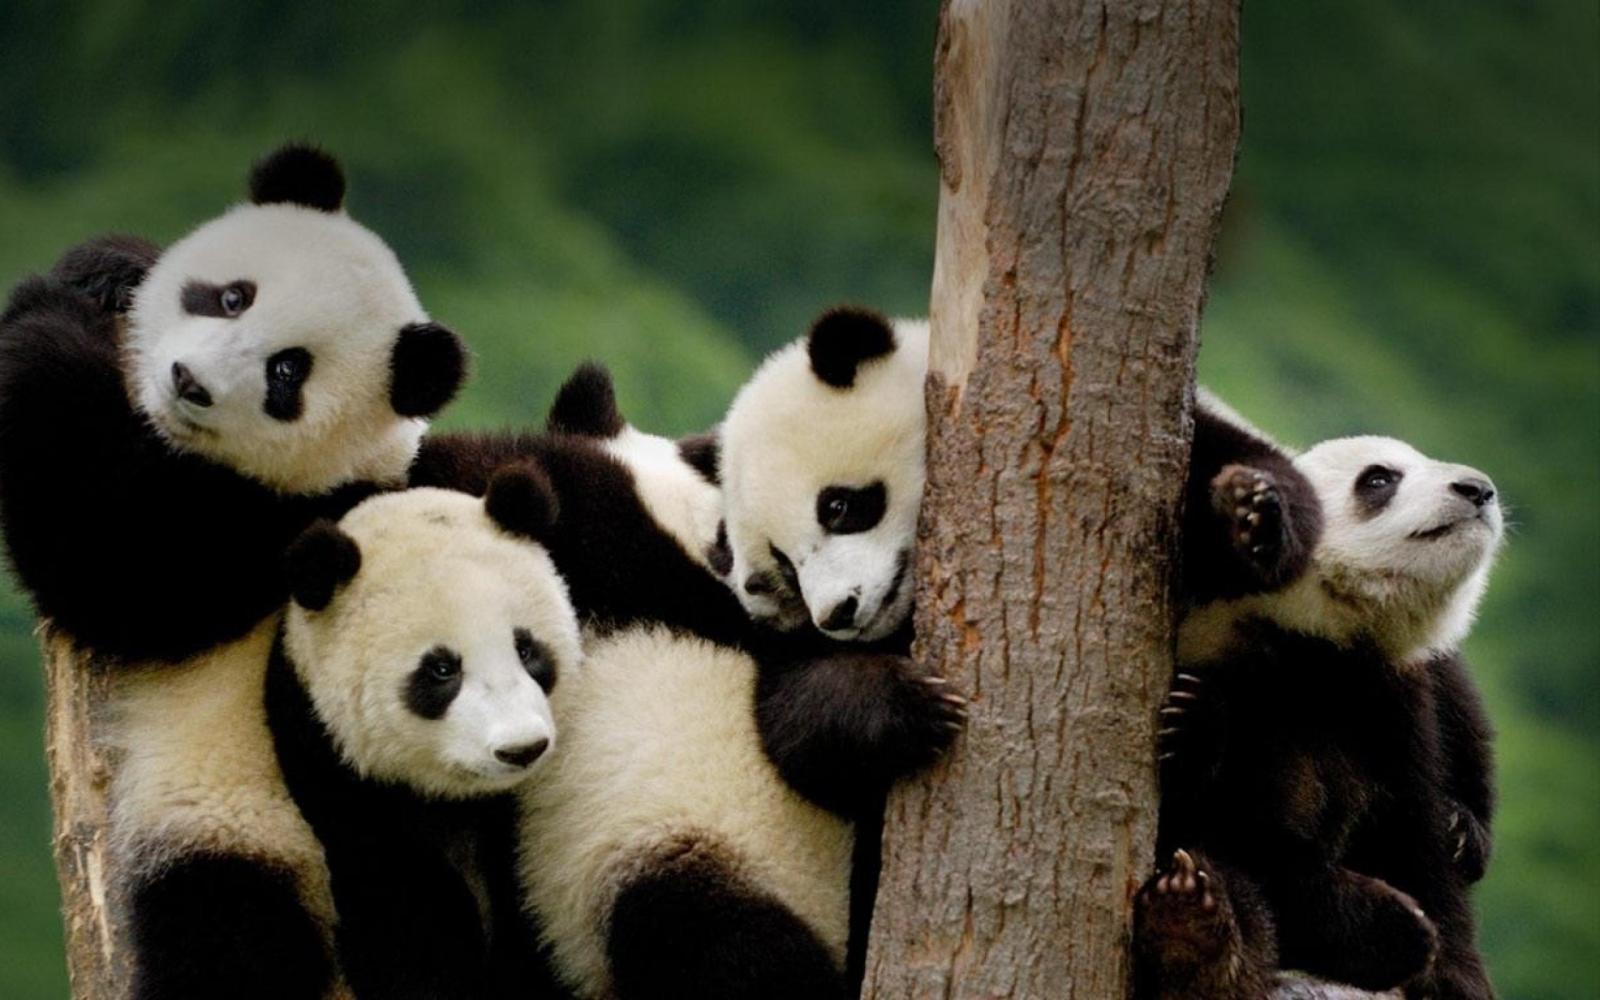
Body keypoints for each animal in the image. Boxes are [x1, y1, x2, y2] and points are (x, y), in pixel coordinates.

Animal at [0, 144, 467, 999]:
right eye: (232, 296)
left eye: (288, 373)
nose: (189, 381)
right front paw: (108, 266)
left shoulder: (275, 528)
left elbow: (108, 562)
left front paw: (44, 306)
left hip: (246, 827)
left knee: (231, 938)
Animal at [265, 472, 581, 1000]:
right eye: (441, 670)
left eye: (527, 649)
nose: (522, 749)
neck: (452, 798)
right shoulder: (328, 761)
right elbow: (401, 912)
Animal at [1136, 429, 1502, 1000]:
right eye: (1378, 478)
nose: (1478, 489)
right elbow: (1246, 834)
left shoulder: (1393, 699)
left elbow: (1416, 834)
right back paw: (1193, 932)